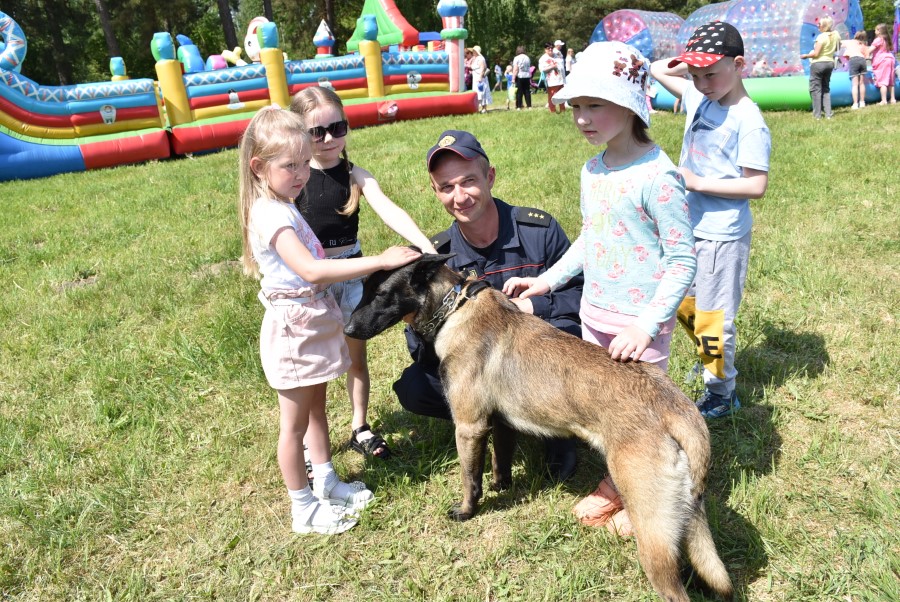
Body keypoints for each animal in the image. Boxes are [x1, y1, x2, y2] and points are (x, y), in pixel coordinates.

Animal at [345, 254, 733, 602]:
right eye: (364, 290)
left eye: (381, 294)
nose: (347, 331)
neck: (456, 307)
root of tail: (677, 406)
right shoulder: (499, 423)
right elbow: (500, 461)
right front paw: (501, 486)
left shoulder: (469, 427)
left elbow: (471, 478)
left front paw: (466, 511)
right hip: (682, 516)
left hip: (650, 526)